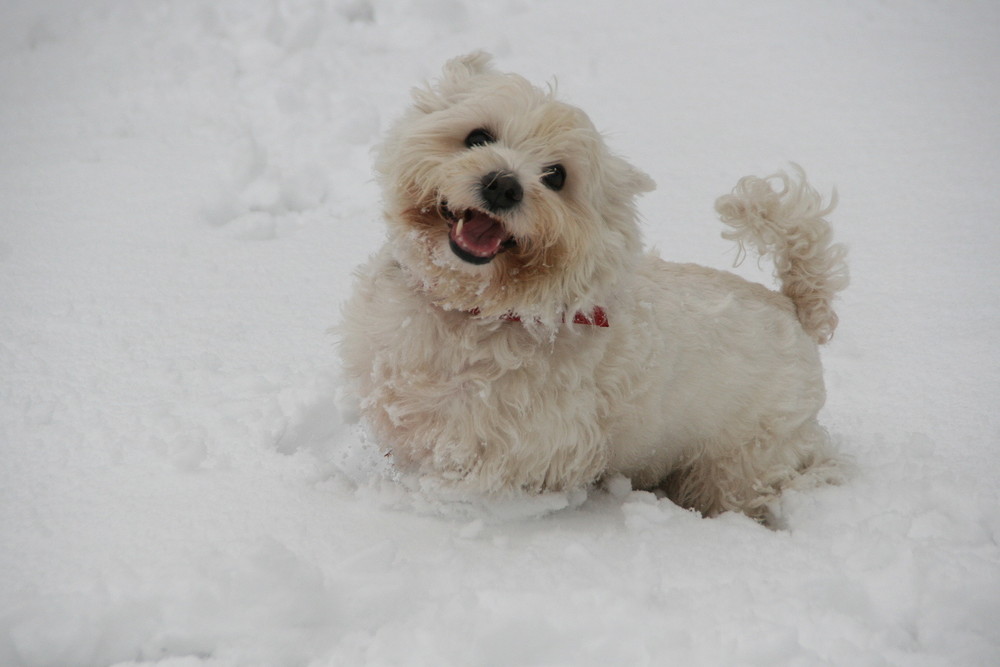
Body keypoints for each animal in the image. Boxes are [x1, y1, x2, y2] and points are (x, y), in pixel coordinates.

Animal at [340, 53, 848, 520]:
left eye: (557, 176)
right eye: (478, 137)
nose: (503, 185)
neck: (472, 309)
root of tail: (793, 308)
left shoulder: (512, 449)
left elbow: (463, 488)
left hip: (745, 457)